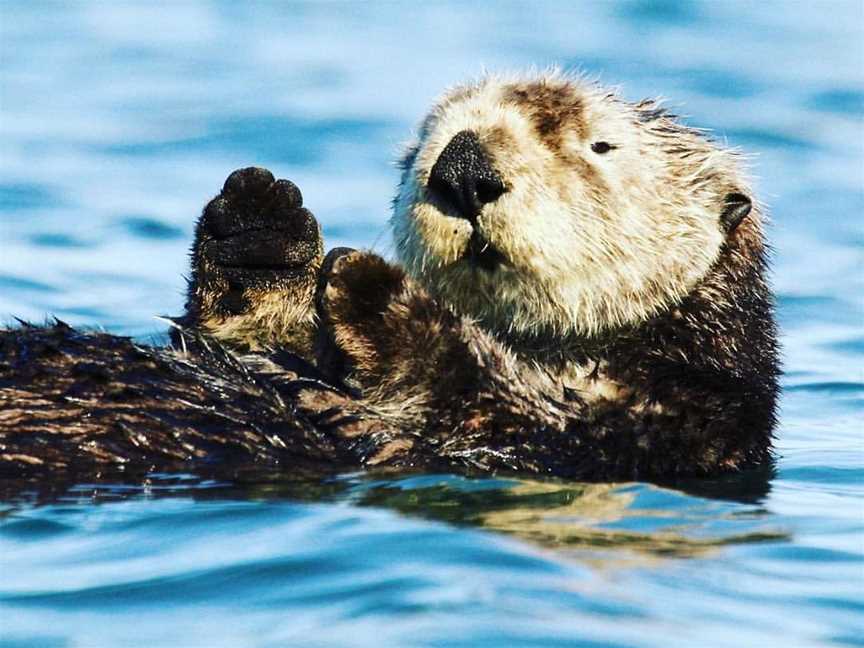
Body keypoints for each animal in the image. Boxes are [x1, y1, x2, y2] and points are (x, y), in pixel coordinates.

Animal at [0, 73, 784, 484]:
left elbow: (477, 395)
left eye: (601, 146)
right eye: (421, 146)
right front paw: (260, 221)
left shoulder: (656, 426)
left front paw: (369, 288)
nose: (463, 167)